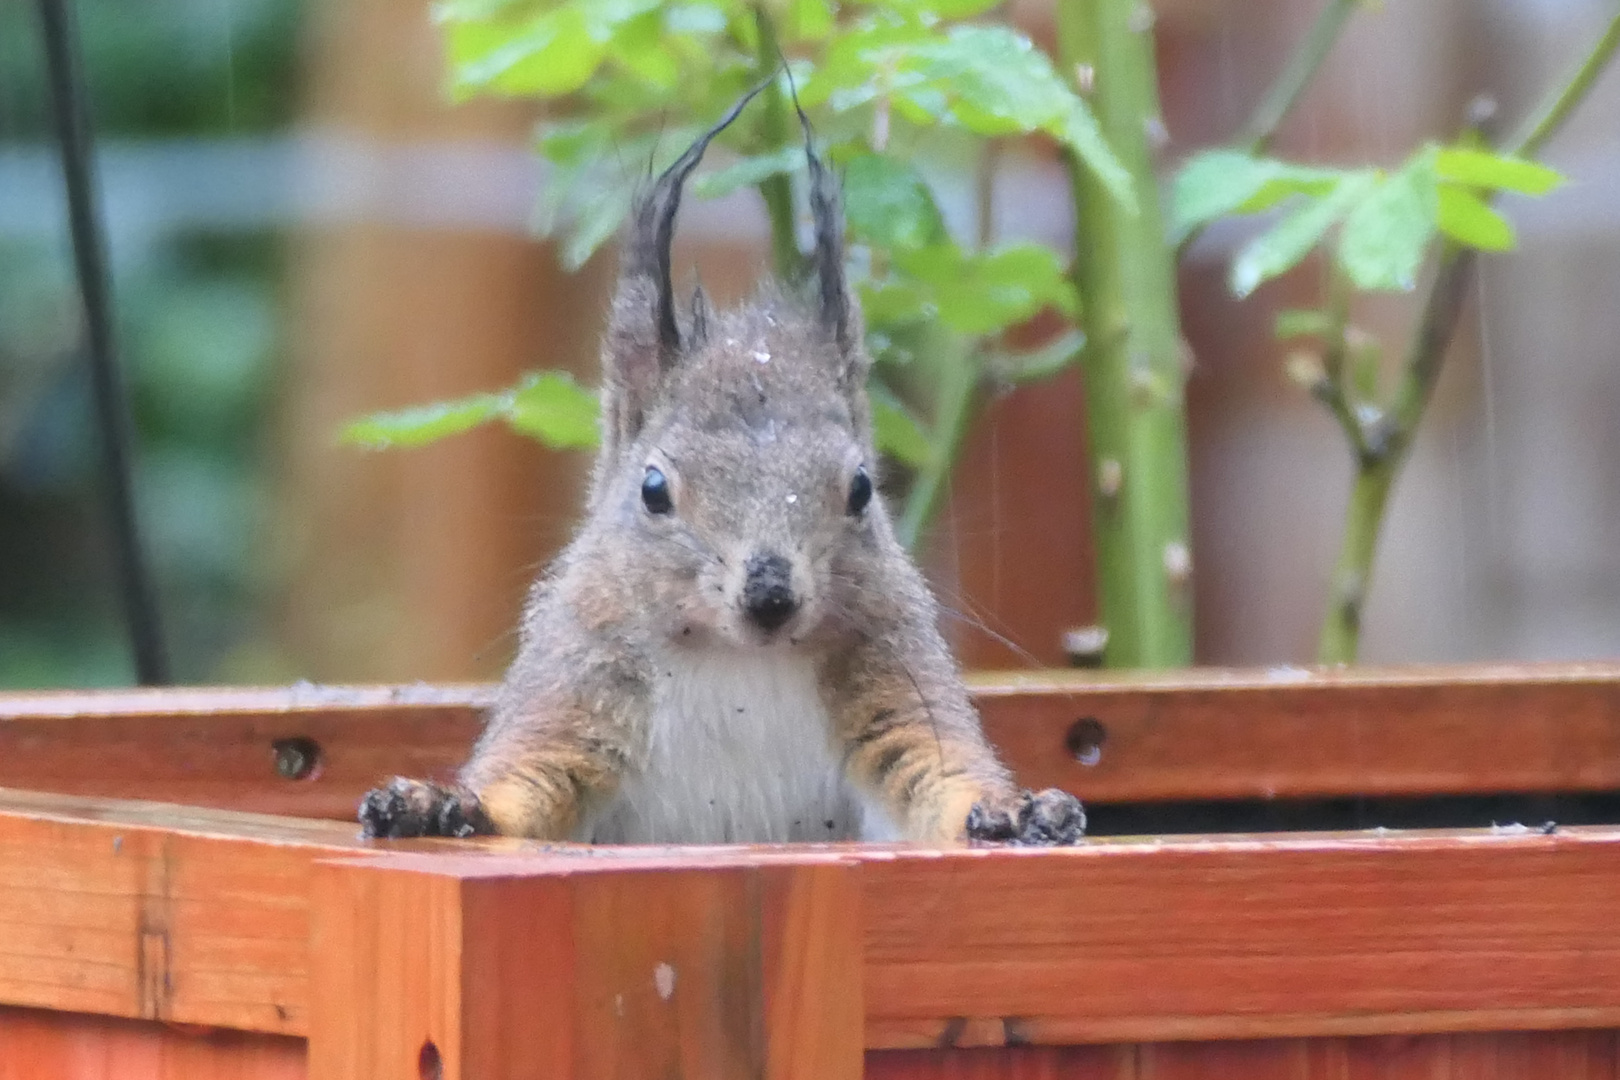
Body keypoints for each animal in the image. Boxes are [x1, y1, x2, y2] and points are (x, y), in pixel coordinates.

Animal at [361, 80, 1082, 848]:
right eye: (652, 489)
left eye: (861, 488)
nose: (770, 595)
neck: (735, 657)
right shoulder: (577, 692)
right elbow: (524, 788)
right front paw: (438, 803)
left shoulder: (897, 685)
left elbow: (936, 775)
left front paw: (1018, 810)